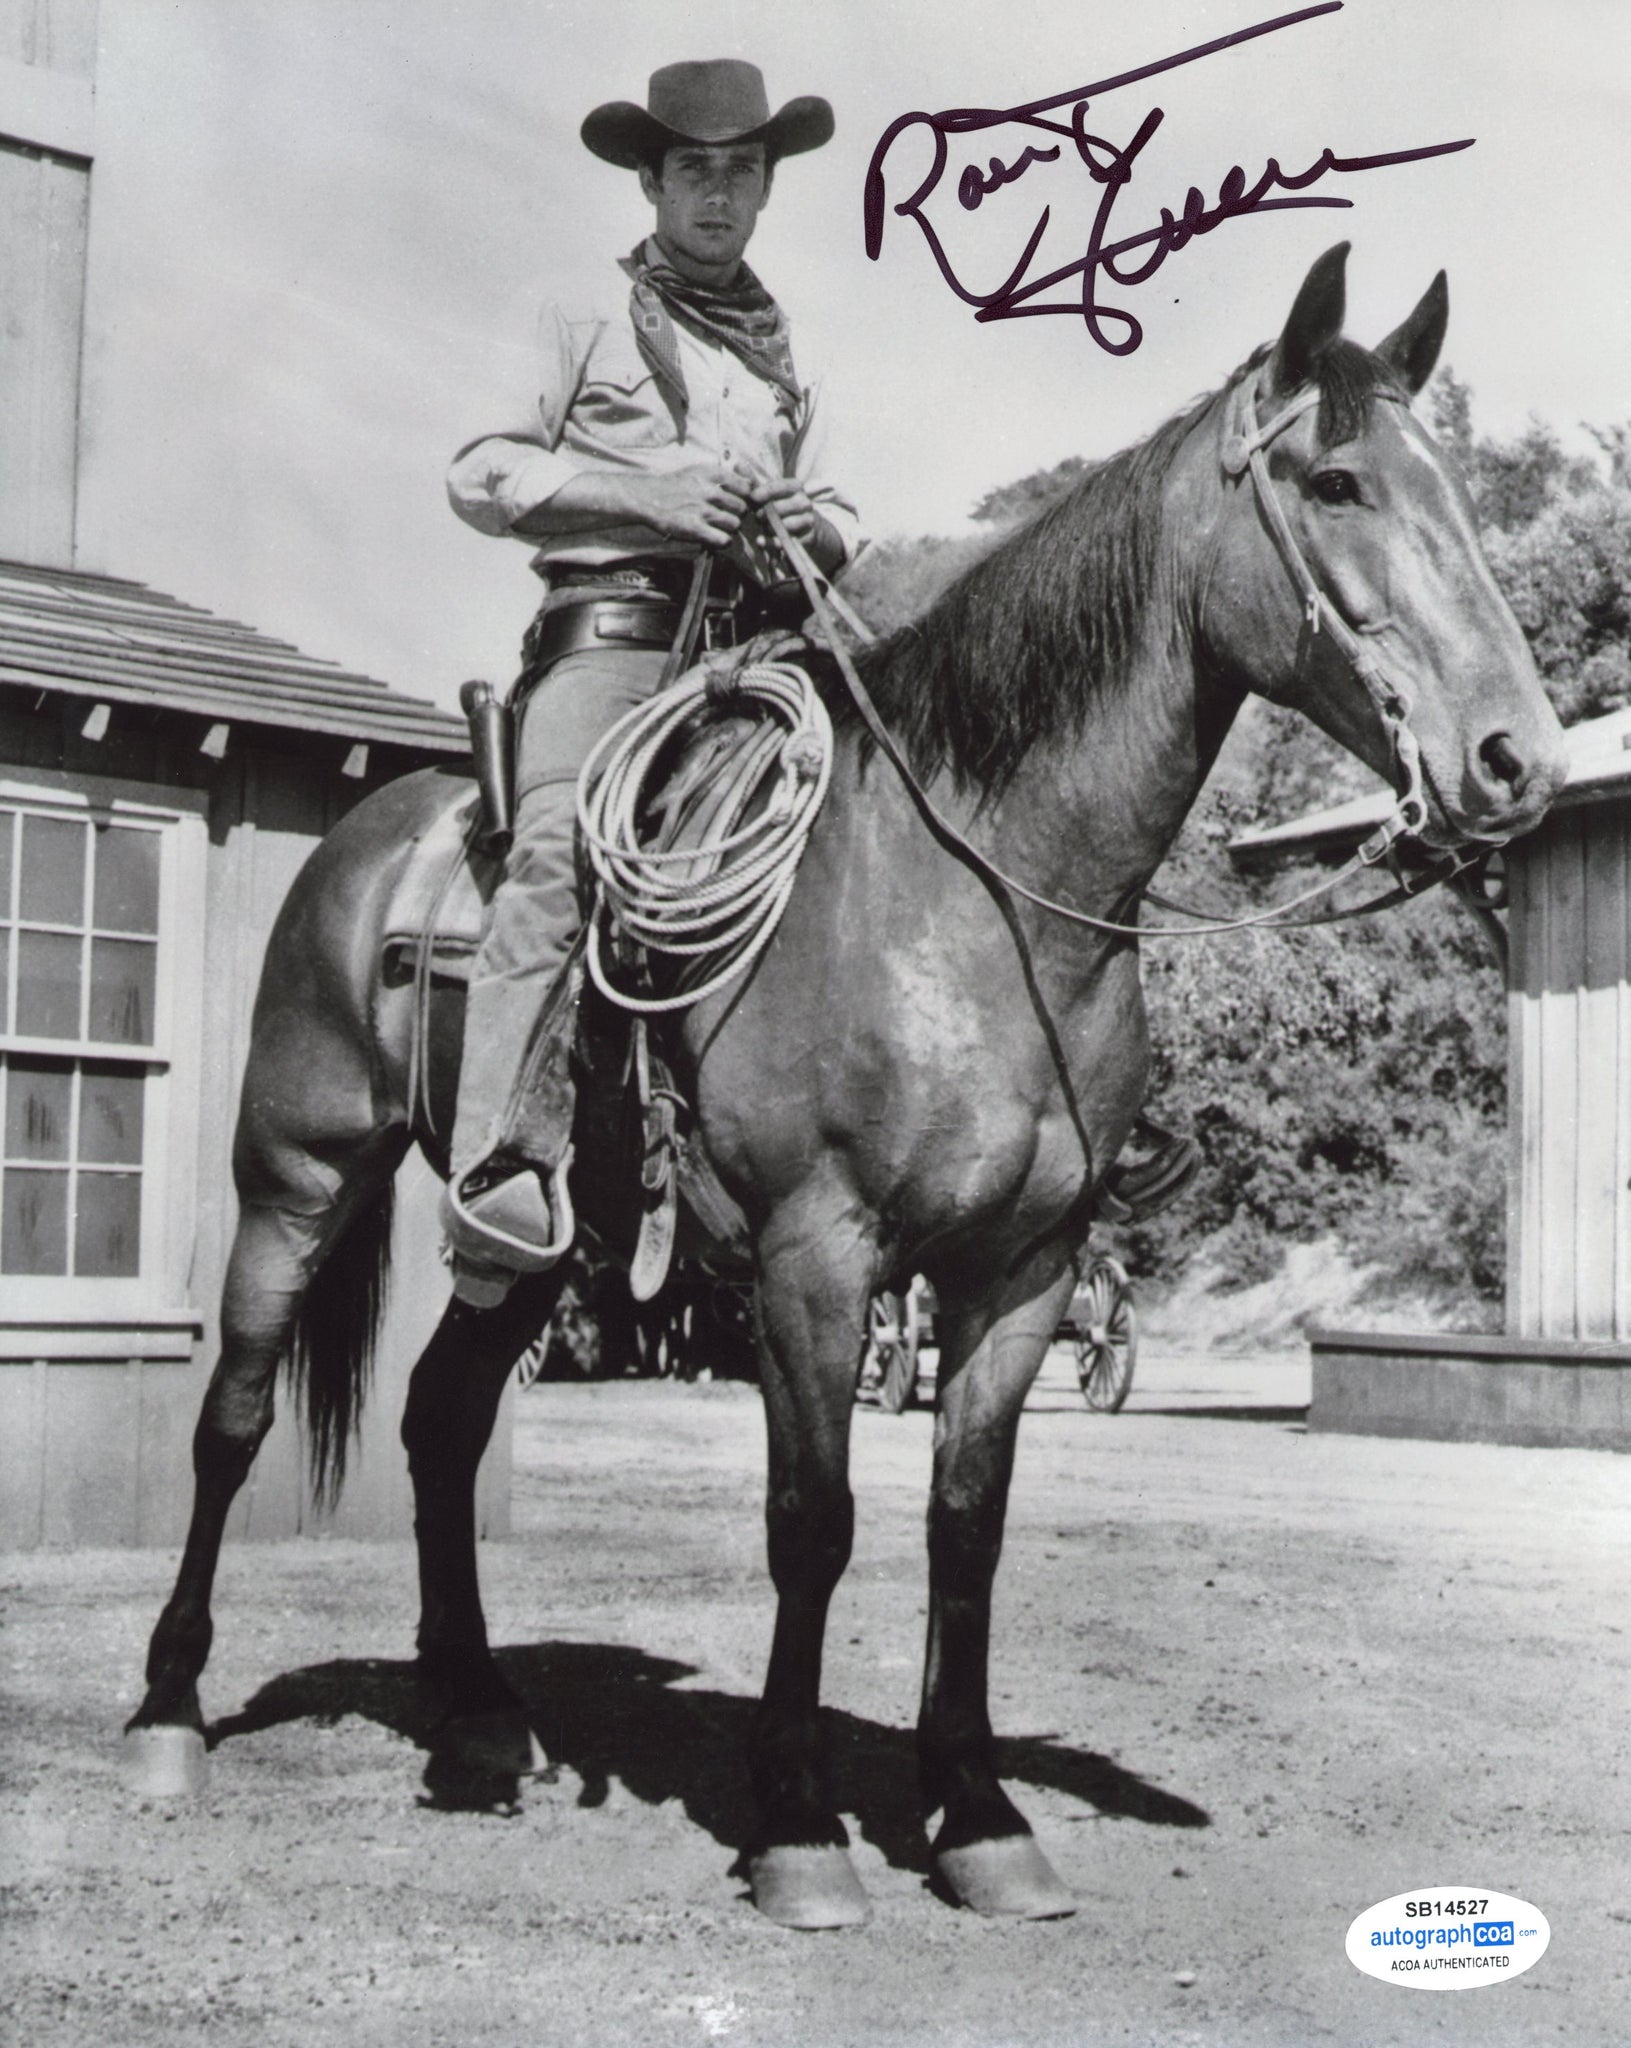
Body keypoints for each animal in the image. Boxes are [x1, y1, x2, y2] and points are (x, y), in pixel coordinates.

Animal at [124, 247, 1565, 1925]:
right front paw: (798, 1827)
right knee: (231, 1418)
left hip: (528, 1238)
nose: (1510, 761)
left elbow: (961, 1528)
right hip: (294, 1176)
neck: (969, 895)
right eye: (1333, 481)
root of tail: (375, 834)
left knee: (437, 1424)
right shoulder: (816, 1256)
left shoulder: (1019, 1270)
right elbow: (811, 1526)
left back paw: (478, 1721)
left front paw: (977, 1815)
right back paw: (168, 1718)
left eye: (1450, 485)